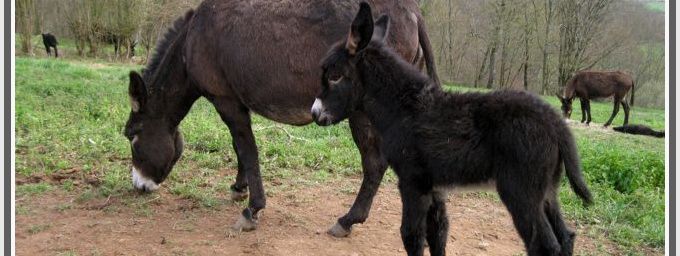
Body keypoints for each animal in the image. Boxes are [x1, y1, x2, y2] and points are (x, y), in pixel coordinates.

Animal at [314, 3, 596, 255]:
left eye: (335, 76)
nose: (315, 113)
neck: (403, 107)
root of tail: (556, 124)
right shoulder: (434, 186)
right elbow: (438, 234)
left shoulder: (413, 181)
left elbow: (411, 236)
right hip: (547, 191)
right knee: (567, 237)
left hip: (521, 192)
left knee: (545, 245)